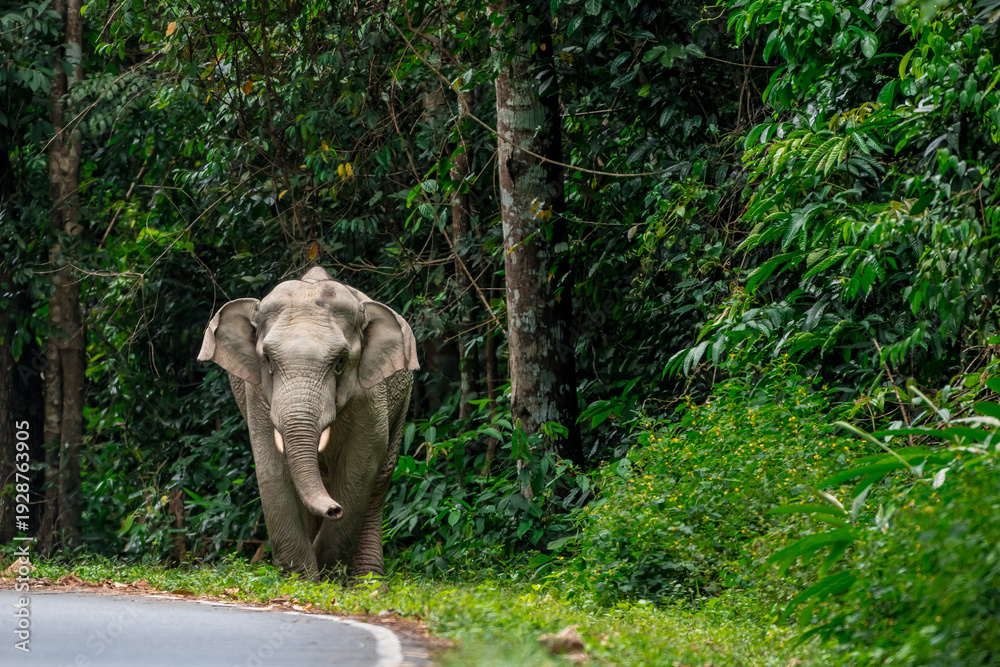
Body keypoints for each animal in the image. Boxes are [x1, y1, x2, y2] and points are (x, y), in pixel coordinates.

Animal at [197, 266, 418, 578]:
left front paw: (326, 574)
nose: (334, 510)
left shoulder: (371, 395)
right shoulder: (257, 395)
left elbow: (360, 466)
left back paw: (369, 585)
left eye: (340, 363)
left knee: (379, 482)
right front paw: (301, 580)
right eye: (267, 359)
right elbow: (271, 467)